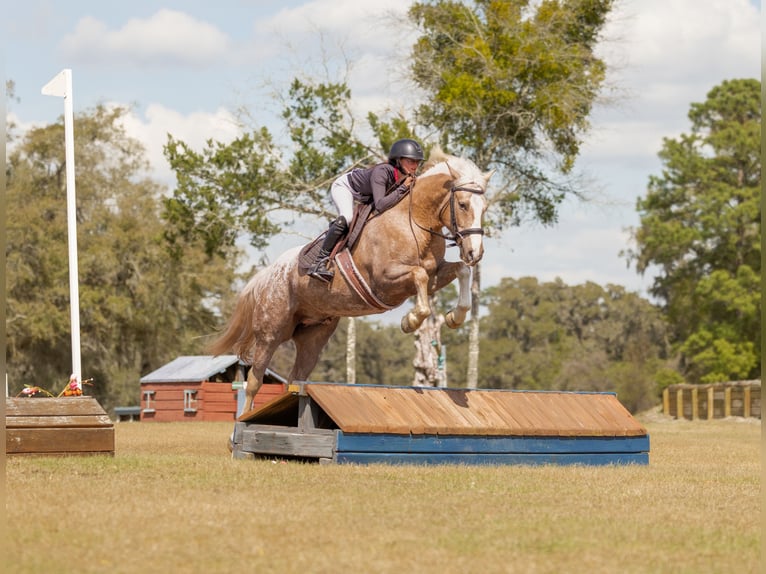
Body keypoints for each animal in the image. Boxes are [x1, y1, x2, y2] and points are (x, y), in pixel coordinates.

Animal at [208, 147, 493, 412]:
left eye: (485, 208)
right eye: (463, 205)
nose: (475, 253)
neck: (414, 219)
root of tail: (269, 275)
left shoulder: (434, 273)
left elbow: (459, 271)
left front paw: (454, 317)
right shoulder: (385, 281)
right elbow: (419, 276)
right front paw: (409, 321)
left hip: (313, 337)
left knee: (295, 379)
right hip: (271, 333)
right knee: (255, 381)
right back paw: (240, 430)